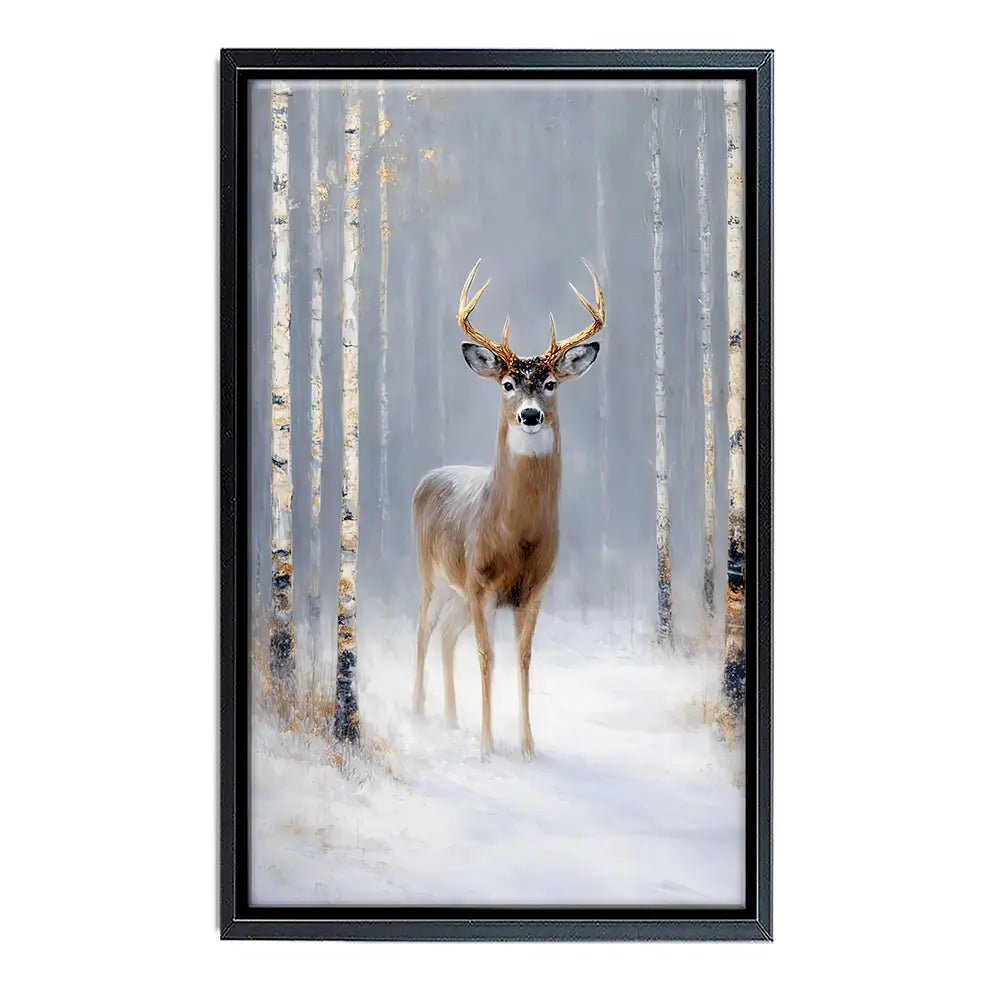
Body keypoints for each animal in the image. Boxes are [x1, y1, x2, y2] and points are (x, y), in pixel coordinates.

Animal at [411, 259, 605, 760]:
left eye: (551, 383)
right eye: (508, 383)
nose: (530, 415)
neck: (516, 537)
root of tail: (426, 478)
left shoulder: (532, 590)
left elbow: (523, 658)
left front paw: (527, 747)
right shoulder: (480, 585)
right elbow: (487, 656)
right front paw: (485, 747)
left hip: (458, 594)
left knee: (445, 634)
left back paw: (451, 719)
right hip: (434, 575)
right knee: (423, 630)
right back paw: (418, 710)